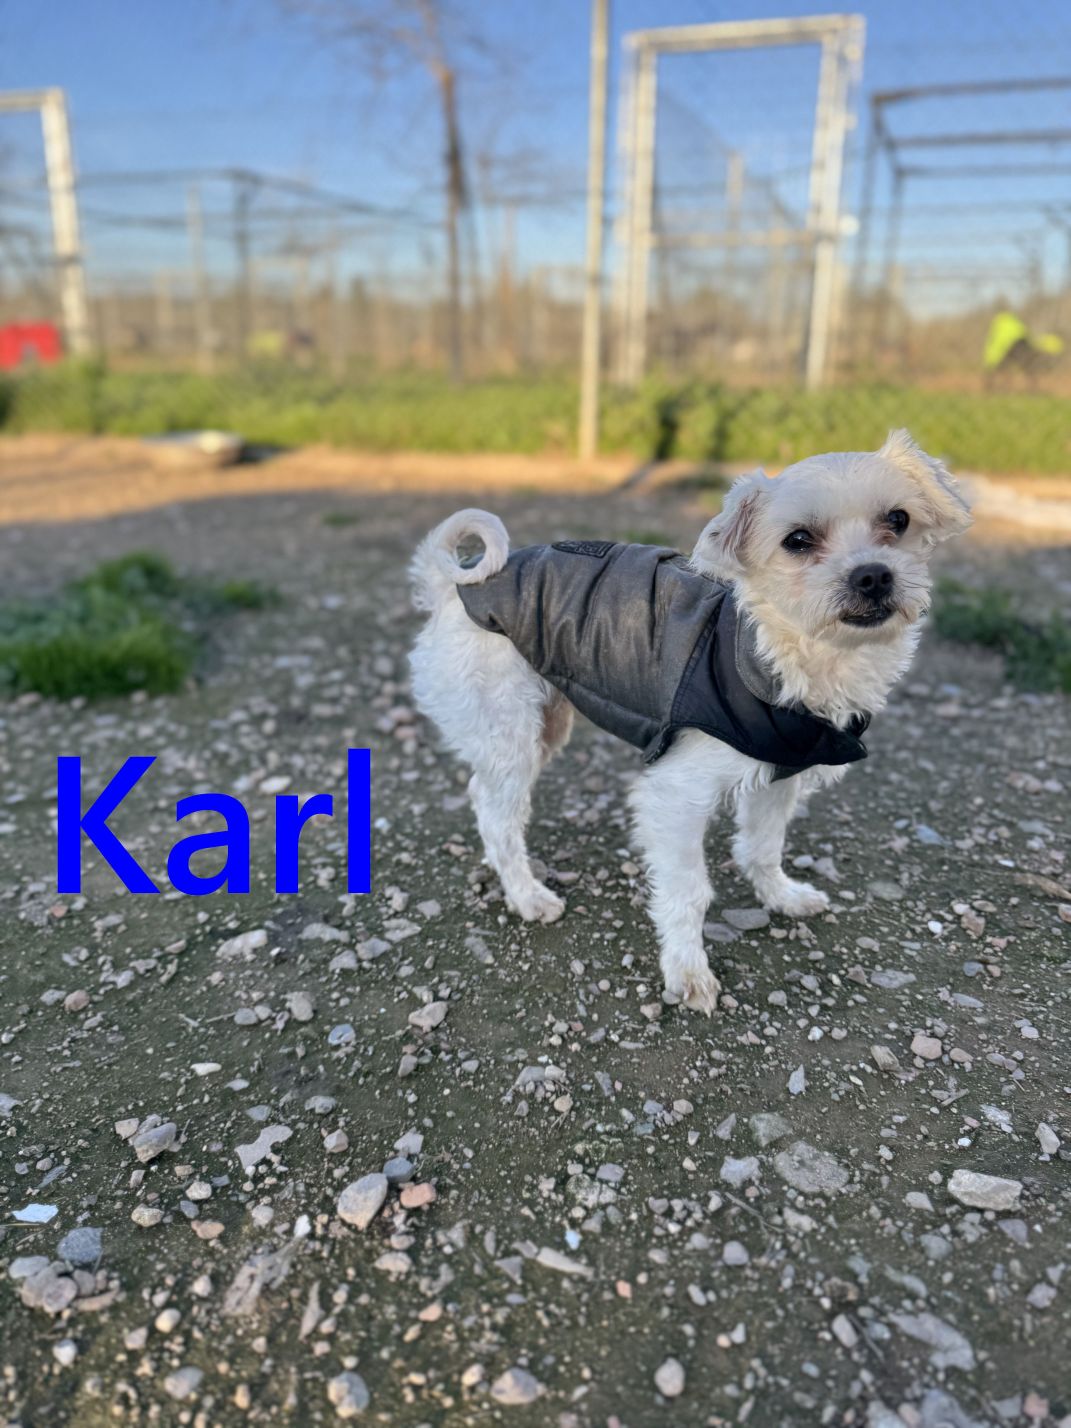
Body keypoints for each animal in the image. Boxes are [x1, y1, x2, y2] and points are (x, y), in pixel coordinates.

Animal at [407, 430, 971, 1013]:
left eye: (898, 520)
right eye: (797, 540)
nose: (874, 574)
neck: (778, 654)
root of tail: (451, 590)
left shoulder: (779, 773)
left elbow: (763, 846)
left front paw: (781, 895)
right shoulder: (674, 798)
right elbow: (688, 892)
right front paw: (687, 971)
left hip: (546, 726)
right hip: (511, 736)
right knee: (497, 816)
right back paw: (527, 896)